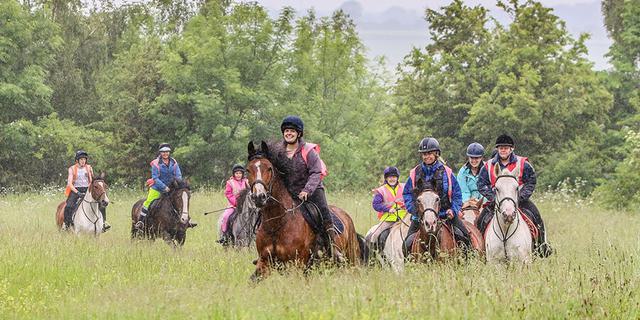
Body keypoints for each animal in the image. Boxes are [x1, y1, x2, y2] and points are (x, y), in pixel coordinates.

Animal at [248, 141, 362, 282]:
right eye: (248, 169)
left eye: (269, 168)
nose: (259, 197)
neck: (276, 223)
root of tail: (346, 216)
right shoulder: (264, 261)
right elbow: (252, 281)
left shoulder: (297, 264)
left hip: (352, 258)